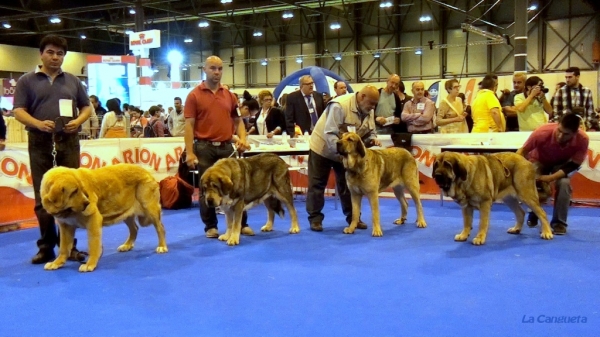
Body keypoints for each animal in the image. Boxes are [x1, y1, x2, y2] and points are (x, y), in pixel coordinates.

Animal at [41, 164, 169, 272]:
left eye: (81, 189)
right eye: (74, 191)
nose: (87, 203)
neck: (68, 211)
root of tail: (146, 171)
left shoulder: (93, 220)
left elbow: (93, 245)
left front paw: (90, 263)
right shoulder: (65, 226)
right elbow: (63, 248)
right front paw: (57, 263)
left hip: (149, 208)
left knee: (160, 228)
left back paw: (162, 246)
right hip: (125, 212)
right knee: (135, 229)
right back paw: (127, 245)